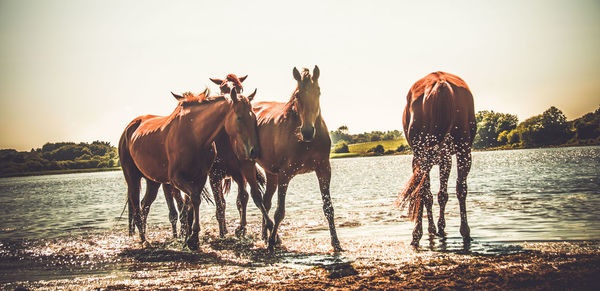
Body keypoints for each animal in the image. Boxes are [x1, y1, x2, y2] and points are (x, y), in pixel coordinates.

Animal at [119, 89, 262, 251]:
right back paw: (144, 240)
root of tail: (129, 129)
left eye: (254, 119)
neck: (194, 135)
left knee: (145, 206)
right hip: (133, 178)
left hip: (153, 181)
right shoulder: (178, 179)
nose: (254, 151)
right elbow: (195, 200)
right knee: (137, 208)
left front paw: (191, 237)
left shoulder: (201, 177)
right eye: (239, 117)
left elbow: (193, 204)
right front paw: (193, 237)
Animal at [251, 66, 340, 253]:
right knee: (261, 201)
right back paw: (271, 238)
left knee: (266, 202)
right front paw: (272, 242)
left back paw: (265, 236)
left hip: (271, 173)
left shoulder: (324, 170)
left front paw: (336, 243)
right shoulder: (285, 174)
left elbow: (328, 208)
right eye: (298, 95)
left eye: (318, 91)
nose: (307, 131)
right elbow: (280, 211)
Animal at [396, 70, 476, 246]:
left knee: (422, 190)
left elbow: (430, 194)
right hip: (463, 150)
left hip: (422, 154)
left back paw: (417, 233)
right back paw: (465, 231)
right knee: (461, 188)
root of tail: (440, 81)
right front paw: (438, 226)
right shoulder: (445, 158)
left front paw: (433, 228)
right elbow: (441, 194)